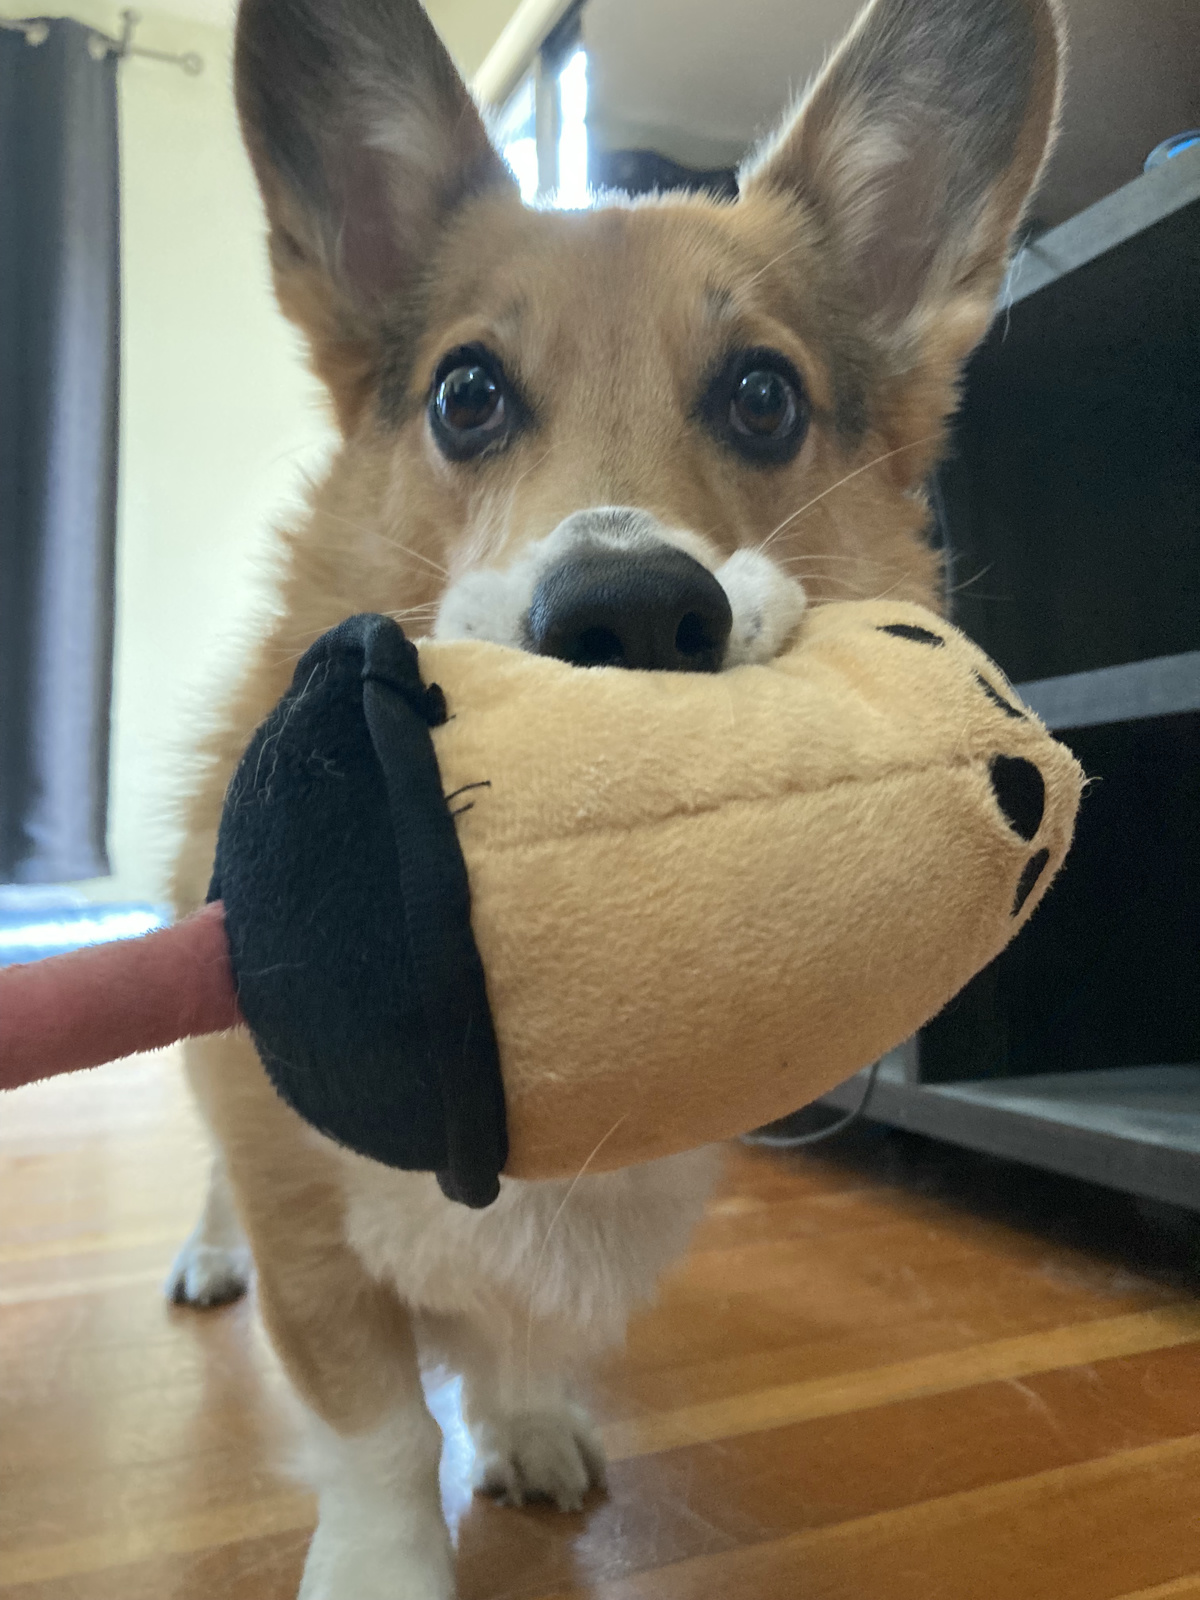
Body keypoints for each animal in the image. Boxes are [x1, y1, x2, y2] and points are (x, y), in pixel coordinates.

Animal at [167, 0, 1062, 1593]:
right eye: (466, 393)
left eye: (764, 395)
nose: (633, 609)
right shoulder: (307, 1231)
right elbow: (375, 1424)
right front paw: (387, 1562)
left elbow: (518, 1341)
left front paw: (522, 1426)